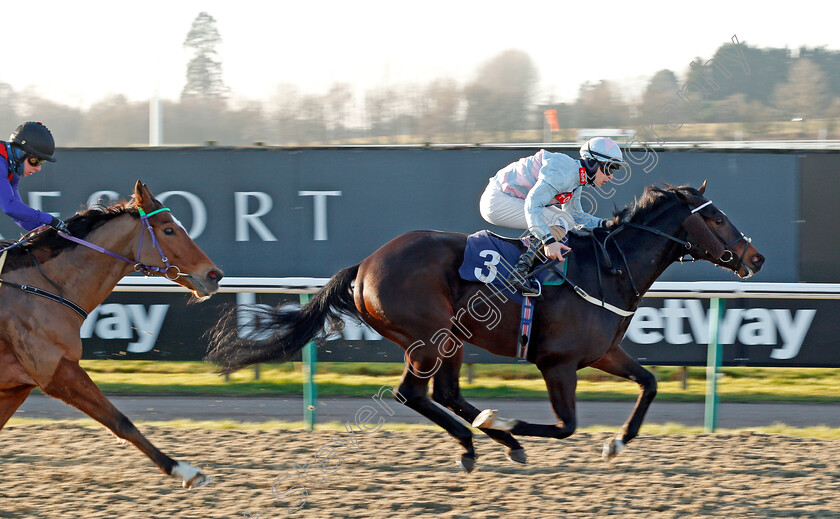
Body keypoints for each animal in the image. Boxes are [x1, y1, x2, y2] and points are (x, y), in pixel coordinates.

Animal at [0, 181, 223, 490]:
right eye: (168, 230)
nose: (214, 275)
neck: (39, 287)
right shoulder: (57, 371)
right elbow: (120, 421)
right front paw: (186, 471)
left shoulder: (16, 387)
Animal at [205, 182, 760, 472]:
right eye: (717, 219)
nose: (755, 257)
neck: (607, 268)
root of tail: (364, 266)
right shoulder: (557, 362)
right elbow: (566, 425)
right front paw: (512, 422)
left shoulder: (602, 353)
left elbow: (649, 382)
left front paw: (617, 441)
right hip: (429, 337)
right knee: (414, 393)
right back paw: (482, 440)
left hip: (451, 339)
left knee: (445, 393)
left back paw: (489, 440)